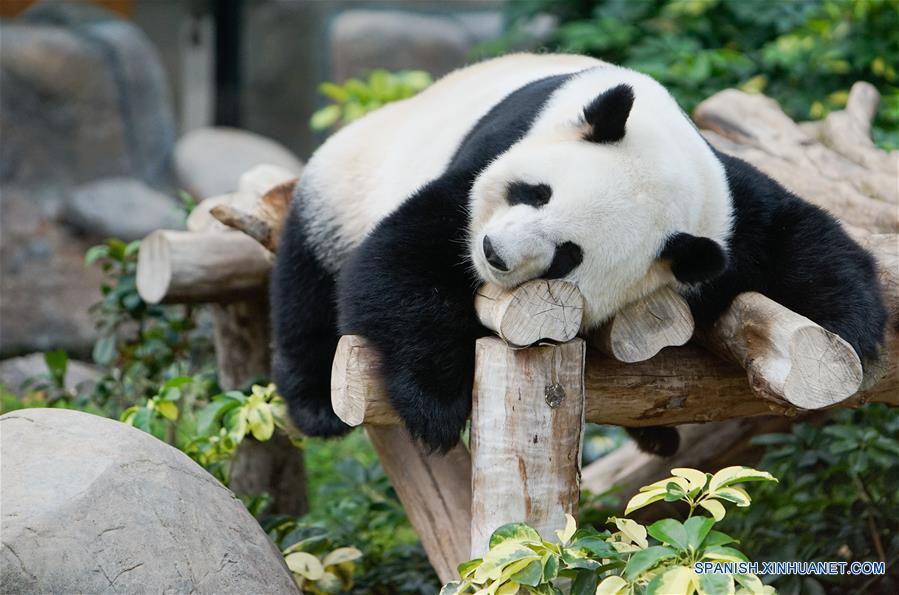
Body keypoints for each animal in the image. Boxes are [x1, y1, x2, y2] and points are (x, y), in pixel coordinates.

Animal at [270, 54, 888, 456]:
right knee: (308, 286)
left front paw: (851, 331)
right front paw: (434, 405)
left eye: (568, 256)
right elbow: (399, 260)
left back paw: (657, 435)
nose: (492, 253)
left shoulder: (726, 213)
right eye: (535, 192)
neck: (661, 145)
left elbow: (797, 238)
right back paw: (316, 405)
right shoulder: (500, 149)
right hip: (345, 182)